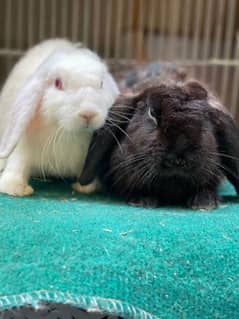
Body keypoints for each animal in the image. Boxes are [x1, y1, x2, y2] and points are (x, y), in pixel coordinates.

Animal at [0, 38, 119, 196]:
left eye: (101, 84)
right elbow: (18, 164)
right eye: (57, 83)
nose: (88, 113)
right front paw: (15, 188)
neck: (67, 134)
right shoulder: (23, 147)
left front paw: (85, 187)